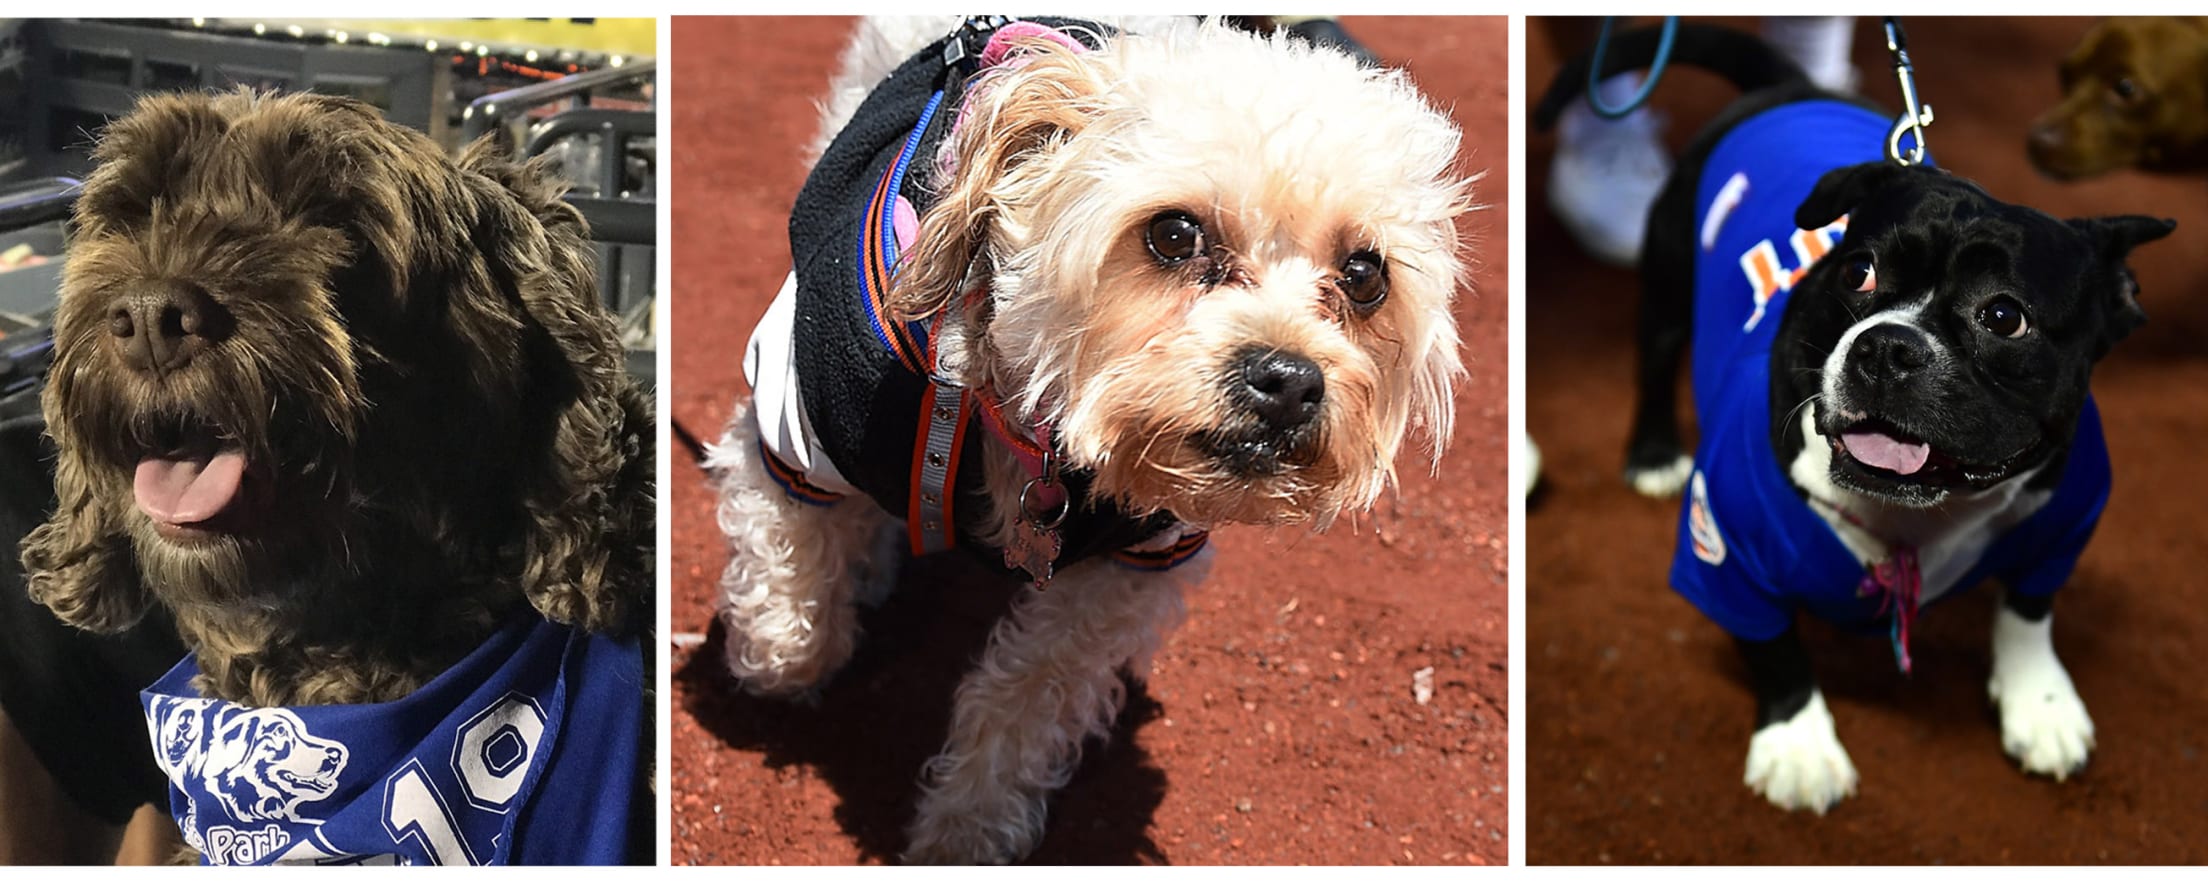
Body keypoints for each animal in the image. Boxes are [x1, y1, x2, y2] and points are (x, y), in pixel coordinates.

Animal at [1536, 25, 2172, 812]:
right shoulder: (1726, 556)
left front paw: (2040, 703)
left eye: (2004, 316)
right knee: (1654, 363)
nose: (1886, 347)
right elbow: (1776, 649)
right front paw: (1799, 743)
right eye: (1857, 271)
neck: (1919, 519)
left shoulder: (2062, 526)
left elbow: (2028, 611)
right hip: (1666, 285)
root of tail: (1790, 87)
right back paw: (1653, 455)